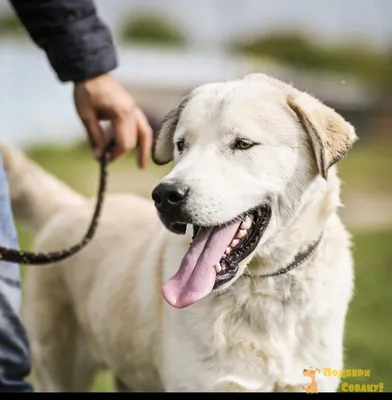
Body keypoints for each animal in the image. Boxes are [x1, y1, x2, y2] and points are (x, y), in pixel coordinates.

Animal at [3, 73, 356, 392]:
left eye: (243, 144)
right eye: (181, 145)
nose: (165, 195)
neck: (263, 287)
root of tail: (71, 207)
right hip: (58, 371)